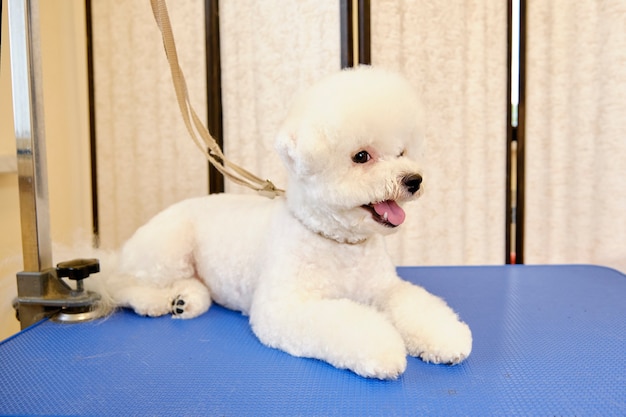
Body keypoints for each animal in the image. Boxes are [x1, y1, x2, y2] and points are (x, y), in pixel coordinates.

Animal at [105, 66, 470, 380]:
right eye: (361, 156)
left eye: (402, 152)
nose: (414, 180)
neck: (338, 243)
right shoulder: (285, 306)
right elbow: (349, 325)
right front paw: (383, 351)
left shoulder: (383, 288)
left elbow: (416, 304)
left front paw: (446, 336)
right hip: (168, 248)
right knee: (120, 286)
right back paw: (154, 301)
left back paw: (185, 300)